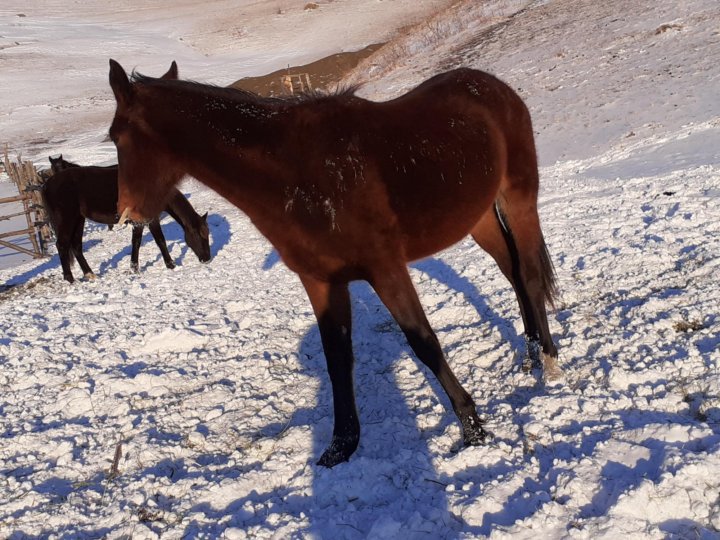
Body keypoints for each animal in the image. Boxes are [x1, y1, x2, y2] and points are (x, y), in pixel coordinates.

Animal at [44, 156, 210, 282]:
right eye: (198, 235)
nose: (207, 259)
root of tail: (47, 185)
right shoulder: (148, 220)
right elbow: (155, 241)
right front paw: (169, 265)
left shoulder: (142, 222)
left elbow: (141, 242)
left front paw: (136, 268)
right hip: (67, 220)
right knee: (62, 246)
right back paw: (70, 279)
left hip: (79, 220)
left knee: (76, 246)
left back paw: (90, 274)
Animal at [107, 57, 560, 466]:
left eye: (116, 137)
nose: (127, 215)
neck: (296, 174)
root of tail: (493, 86)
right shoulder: (321, 281)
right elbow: (336, 358)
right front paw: (341, 446)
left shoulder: (386, 269)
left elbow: (424, 343)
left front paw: (472, 427)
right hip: (479, 218)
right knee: (512, 273)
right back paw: (529, 355)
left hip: (518, 198)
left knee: (530, 275)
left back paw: (550, 362)